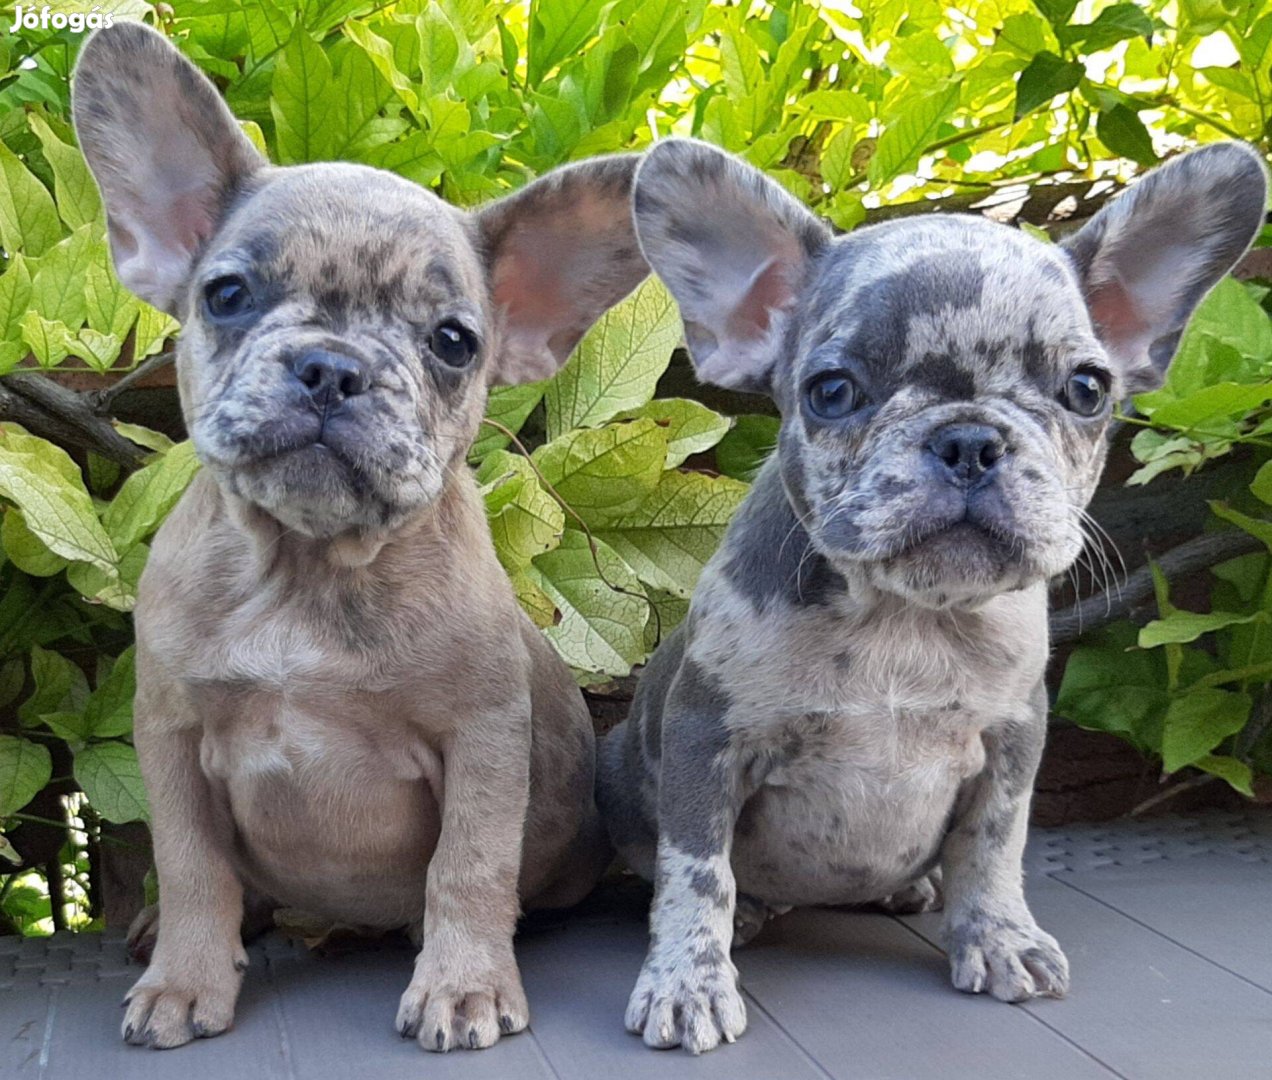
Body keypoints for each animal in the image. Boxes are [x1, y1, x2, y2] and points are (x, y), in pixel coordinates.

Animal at [69, 23, 646, 1053]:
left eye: (454, 341)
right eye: (226, 293)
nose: (331, 367)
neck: (306, 565)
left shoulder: (482, 739)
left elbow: (467, 865)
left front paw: (462, 983)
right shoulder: (170, 736)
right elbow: (192, 866)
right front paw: (183, 976)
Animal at [592, 136, 1261, 1053]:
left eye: (1087, 389)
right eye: (831, 391)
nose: (969, 438)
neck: (904, 617)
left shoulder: (1012, 743)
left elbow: (992, 848)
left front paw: (1000, 937)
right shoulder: (707, 737)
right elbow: (697, 873)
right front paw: (688, 981)